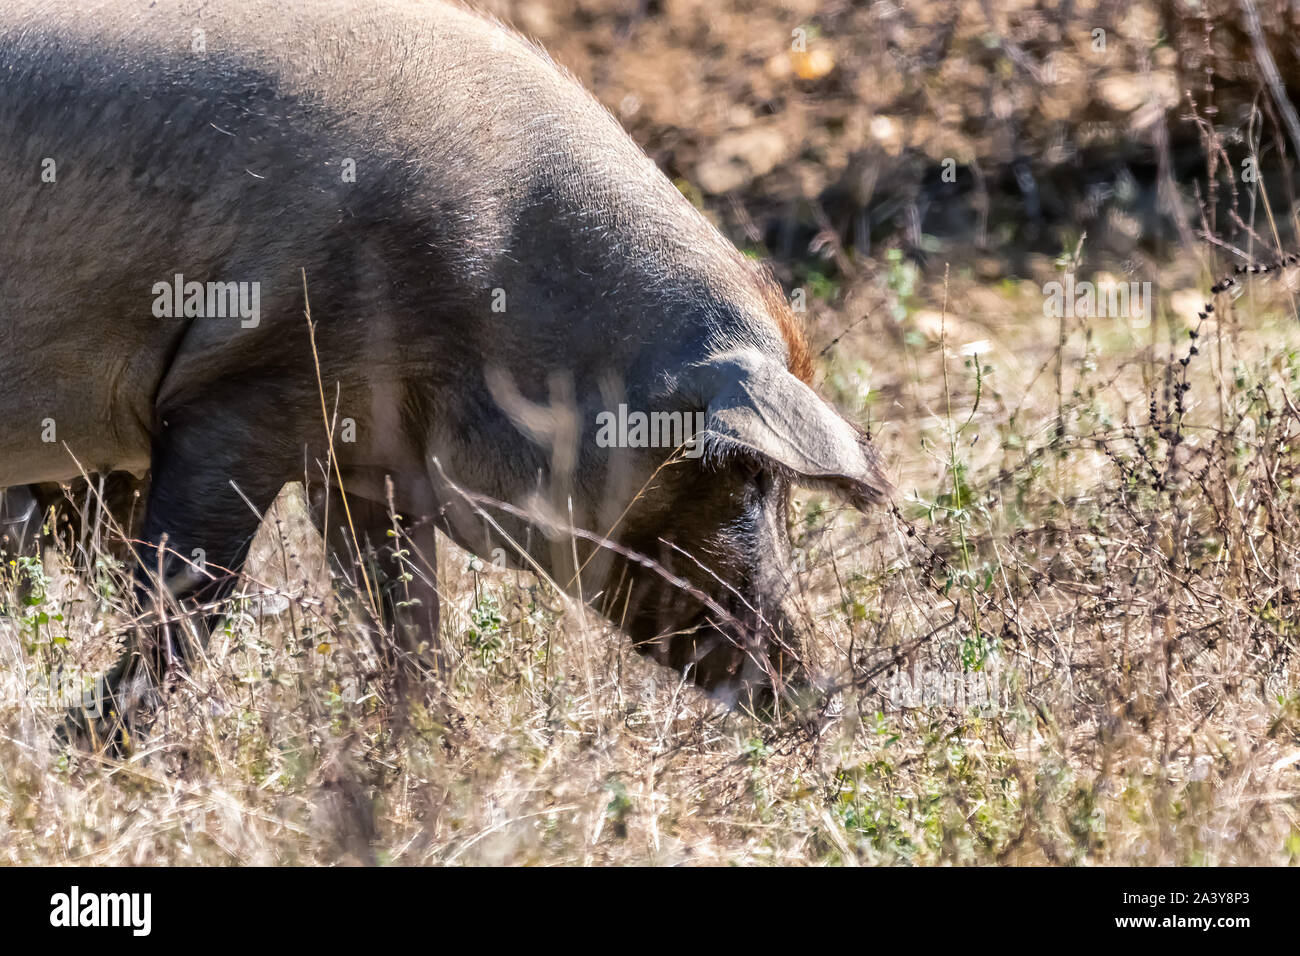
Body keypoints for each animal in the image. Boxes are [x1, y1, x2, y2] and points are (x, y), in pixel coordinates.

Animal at [0, 0, 883, 702]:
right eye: (744, 472)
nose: (816, 693)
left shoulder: (368, 462)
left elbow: (407, 622)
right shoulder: (239, 394)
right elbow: (187, 595)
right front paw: (101, 746)